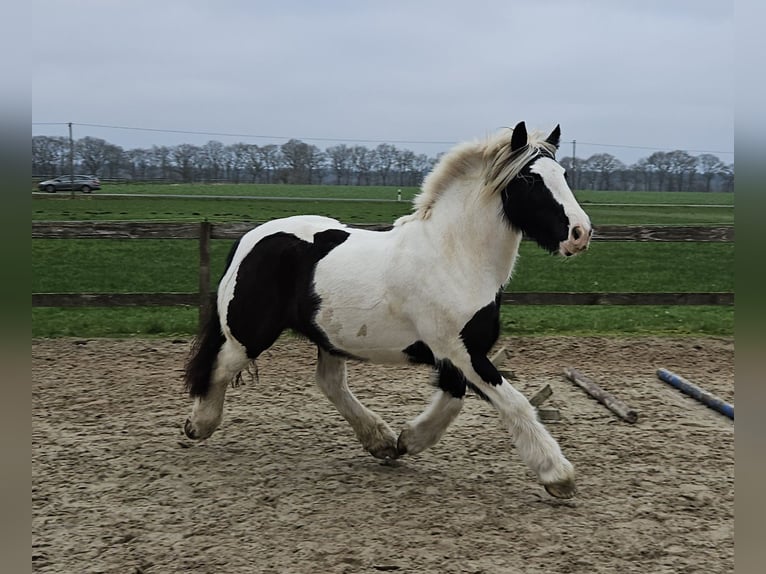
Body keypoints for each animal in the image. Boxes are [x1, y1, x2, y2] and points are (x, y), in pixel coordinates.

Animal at [184, 121, 592, 500]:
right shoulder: (460, 351)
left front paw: (407, 440)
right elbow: (515, 404)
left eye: (563, 174)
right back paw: (199, 425)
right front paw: (558, 475)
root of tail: (249, 239)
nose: (580, 233)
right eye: (529, 179)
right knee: (220, 368)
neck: (455, 257)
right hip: (250, 335)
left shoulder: (457, 355)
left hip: (329, 337)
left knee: (330, 383)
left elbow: (452, 401)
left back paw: (379, 440)